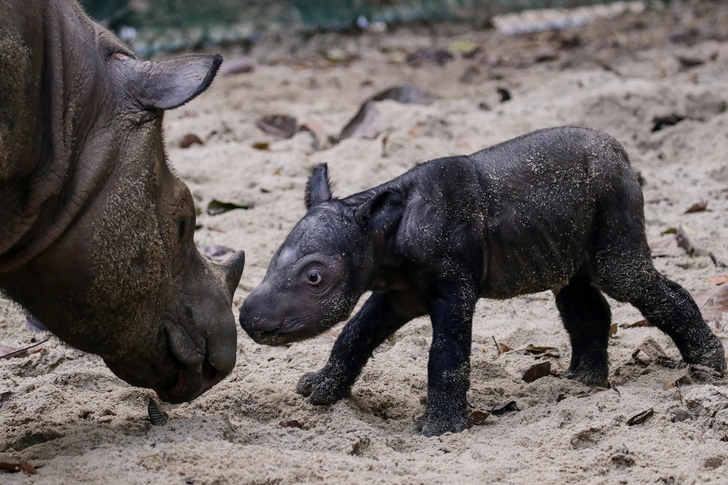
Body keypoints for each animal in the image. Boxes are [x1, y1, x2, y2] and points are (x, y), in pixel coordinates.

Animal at [240, 126, 728, 436]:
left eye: (315, 277)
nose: (248, 319)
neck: (380, 231)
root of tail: (623, 152)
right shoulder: (398, 291)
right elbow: (354, 336)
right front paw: (319, 392)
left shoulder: (451, 284)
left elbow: (446, 353)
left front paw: (437, 430)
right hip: (567, 228)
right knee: (576, 292)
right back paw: (581, 383)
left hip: (614, 197)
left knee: (624, 277)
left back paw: (708, 367)